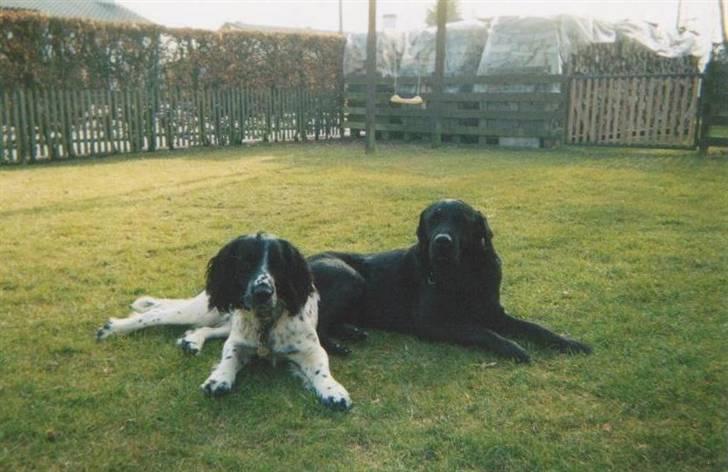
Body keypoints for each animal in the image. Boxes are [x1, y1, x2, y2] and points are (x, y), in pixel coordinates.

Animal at [96, 234, 352, 412]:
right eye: (245, 263)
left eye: (278, 264)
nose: (262, 292)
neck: (265, 323)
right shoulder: (238, 343)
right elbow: (229, 357)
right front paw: (219, 378)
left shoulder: (311, 349)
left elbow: (321, 370)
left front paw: (332, 391)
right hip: (203, 311)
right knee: (155, 313)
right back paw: (113, 328)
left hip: (227, 321)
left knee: (206, 329)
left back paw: (191, 341)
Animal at [312, 197, 592, 364]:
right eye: (432, 219)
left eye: (462, 220)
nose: (442, 242)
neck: (463, 273)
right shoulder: (432, 323)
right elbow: (482, 331)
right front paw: (514, 348)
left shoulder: (495, 314)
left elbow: (536, 328)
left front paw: (570, 342)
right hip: (350, 277)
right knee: (316, 327)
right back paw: (337, 345)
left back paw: (352, 332)